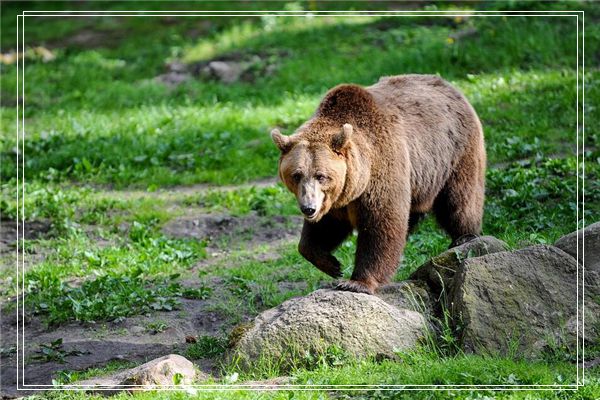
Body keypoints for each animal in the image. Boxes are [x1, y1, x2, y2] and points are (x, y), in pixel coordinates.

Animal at [270, 74, 486, 294]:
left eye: (321, 176)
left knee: (459, 201)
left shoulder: (381, 170)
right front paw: (332, 264)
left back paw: (465, 237)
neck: (357, 181)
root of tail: (450, 86)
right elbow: (324, 229)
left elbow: (381, 225)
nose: (308, 208)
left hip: (454, 154)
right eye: (296, 175)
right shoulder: (335, 199)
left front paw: (355, 282)